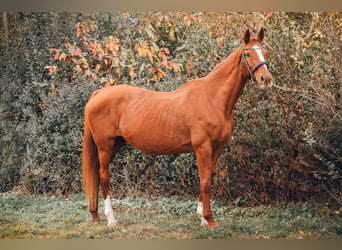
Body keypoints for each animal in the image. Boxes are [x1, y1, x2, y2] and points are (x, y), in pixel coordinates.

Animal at [82, 27, 272, 229]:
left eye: (265, 52)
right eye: (248, 53)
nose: (266, 79)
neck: (212, 99)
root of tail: (99, 93)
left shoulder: (217, 148)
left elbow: (206, 178)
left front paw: (202, 218)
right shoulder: (203, 147)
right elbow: (205, 182)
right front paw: (209, 219)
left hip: (115, 145)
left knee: (98, 175)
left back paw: (96, 215)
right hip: (105, 146)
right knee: (104, 177)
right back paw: (111, 219)